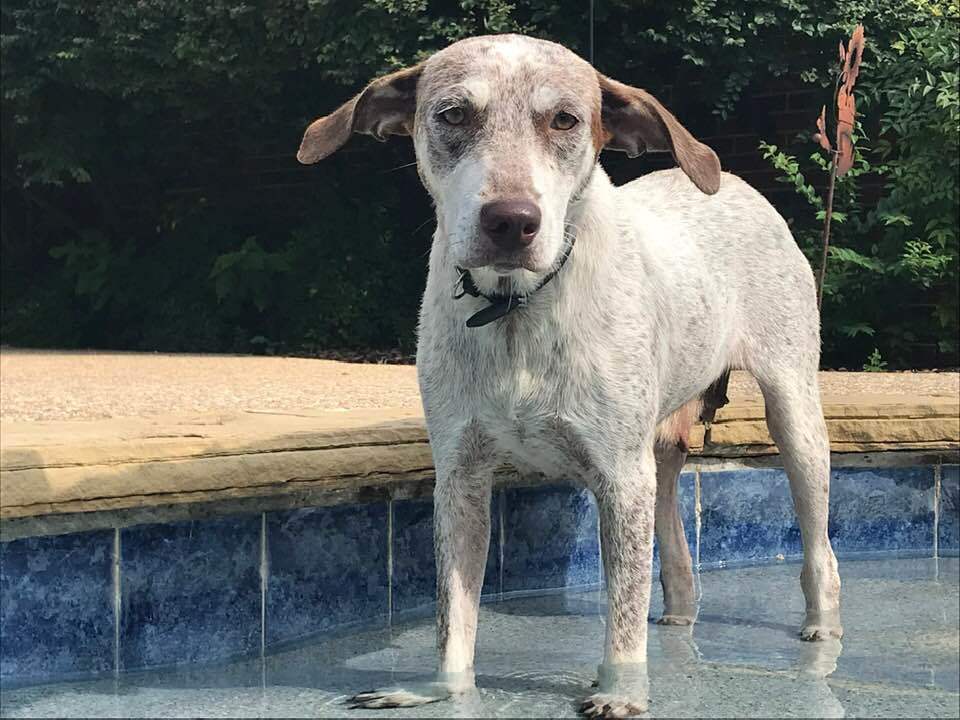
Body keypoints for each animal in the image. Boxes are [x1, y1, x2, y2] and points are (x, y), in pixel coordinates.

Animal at [298, 32, 840, 716]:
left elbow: (622, 607)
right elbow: (456, 610)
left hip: (792, 412)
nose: (511, 220)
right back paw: (681, 613)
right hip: (658, 446)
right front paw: (443, 689)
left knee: (818, 542)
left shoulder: (618, 477)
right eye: (453, 114)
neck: (516, 311)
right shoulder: (460, 476)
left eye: (564, 119)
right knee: (672, 527)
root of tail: (739, 185)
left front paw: (620, 691)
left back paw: (822, 630)